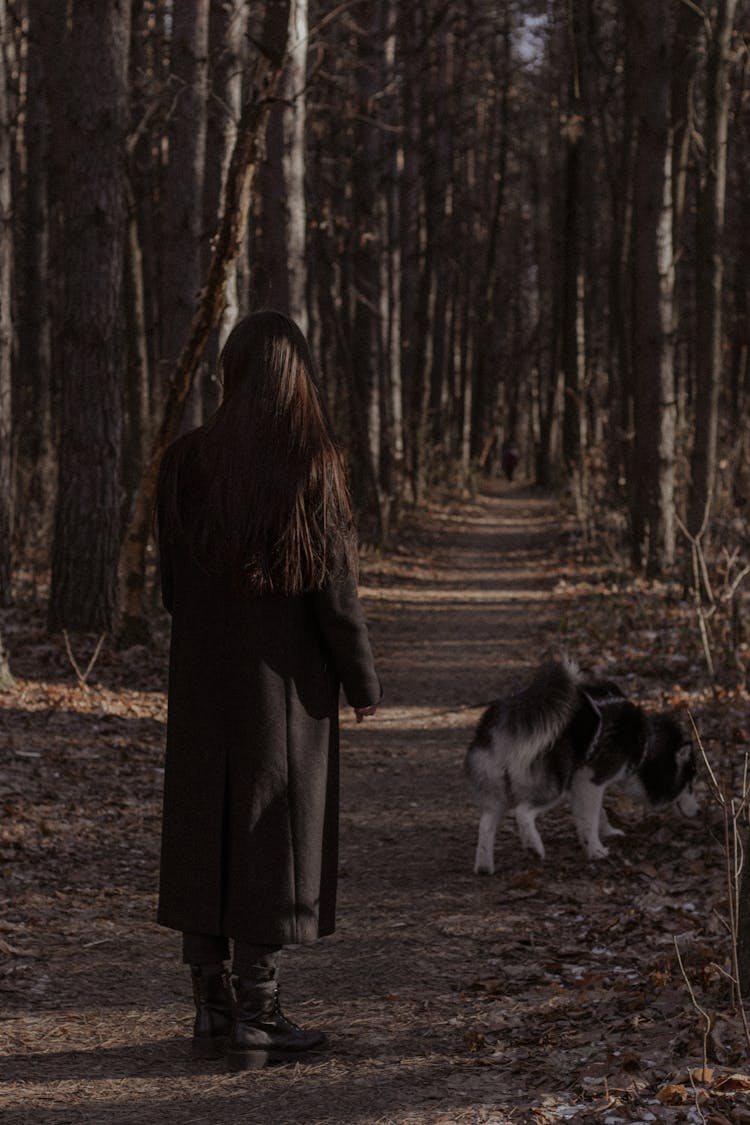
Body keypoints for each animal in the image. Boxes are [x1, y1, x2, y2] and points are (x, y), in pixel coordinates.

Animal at [465, 657, 701, 873]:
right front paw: (596, 850)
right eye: (689, 783)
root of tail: (510, 713)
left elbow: (599, 813)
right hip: (552, 787)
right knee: (523, 812)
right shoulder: (592, 782)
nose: (699, 811)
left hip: (498, 791)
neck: (645, 743)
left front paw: (609, 832)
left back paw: (484, 866)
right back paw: (534, 846)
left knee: (486, 823)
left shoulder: (580, 783)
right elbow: (590, 819)